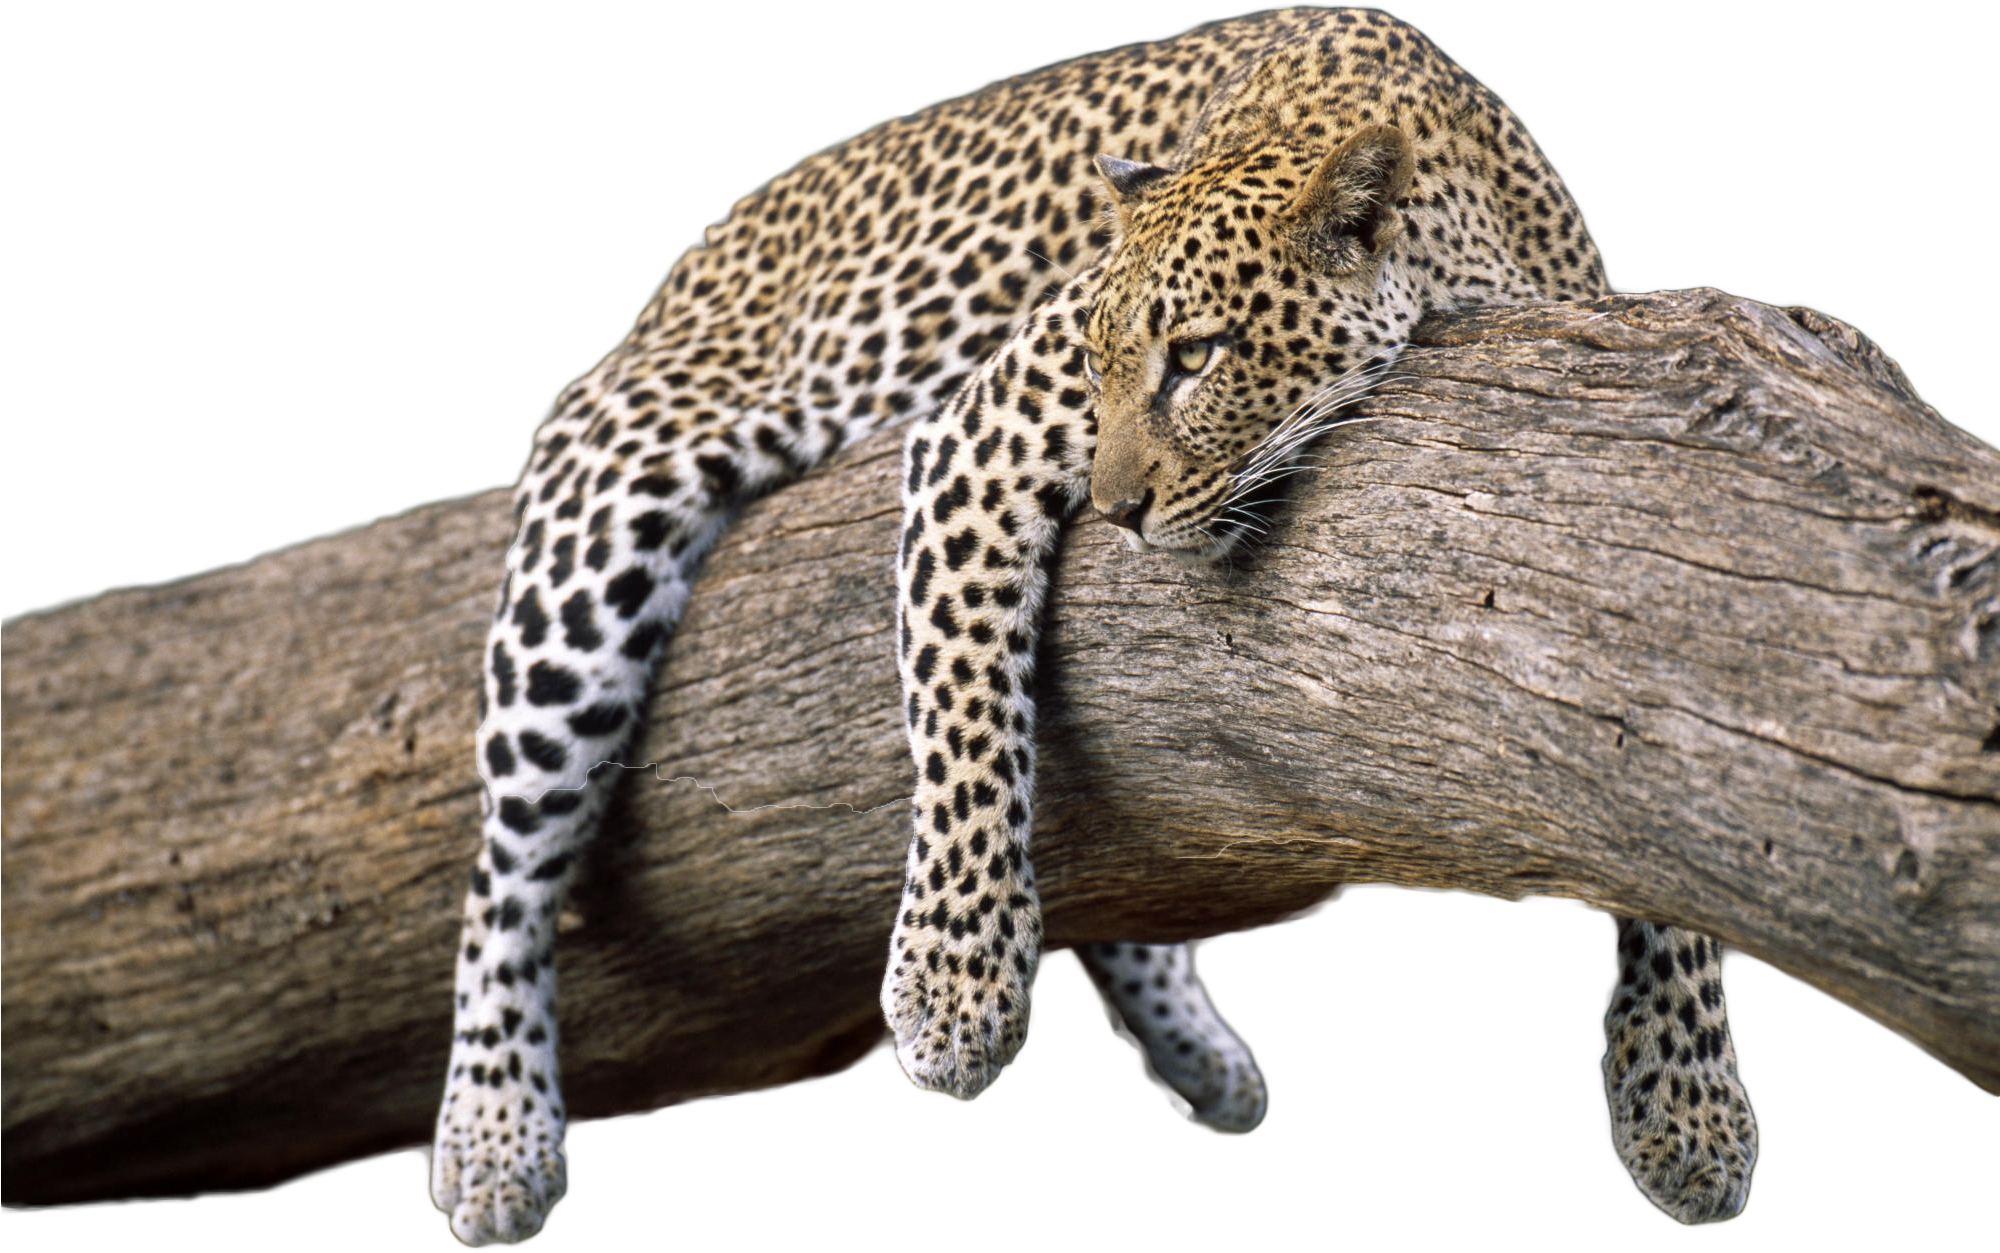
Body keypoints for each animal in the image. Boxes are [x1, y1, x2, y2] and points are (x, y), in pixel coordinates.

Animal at [429, 8, 1759, 1246]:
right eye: (1094, 359)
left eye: (1198, 356)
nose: (1116, 510)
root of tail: (685, 266)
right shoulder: (974, 434)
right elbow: (966, 706)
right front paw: (953, 986)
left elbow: (1658, 813)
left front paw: (1683, 1101)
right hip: (598, 529)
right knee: (506, 869)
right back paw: (492, 1136)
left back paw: (1196, 1055)